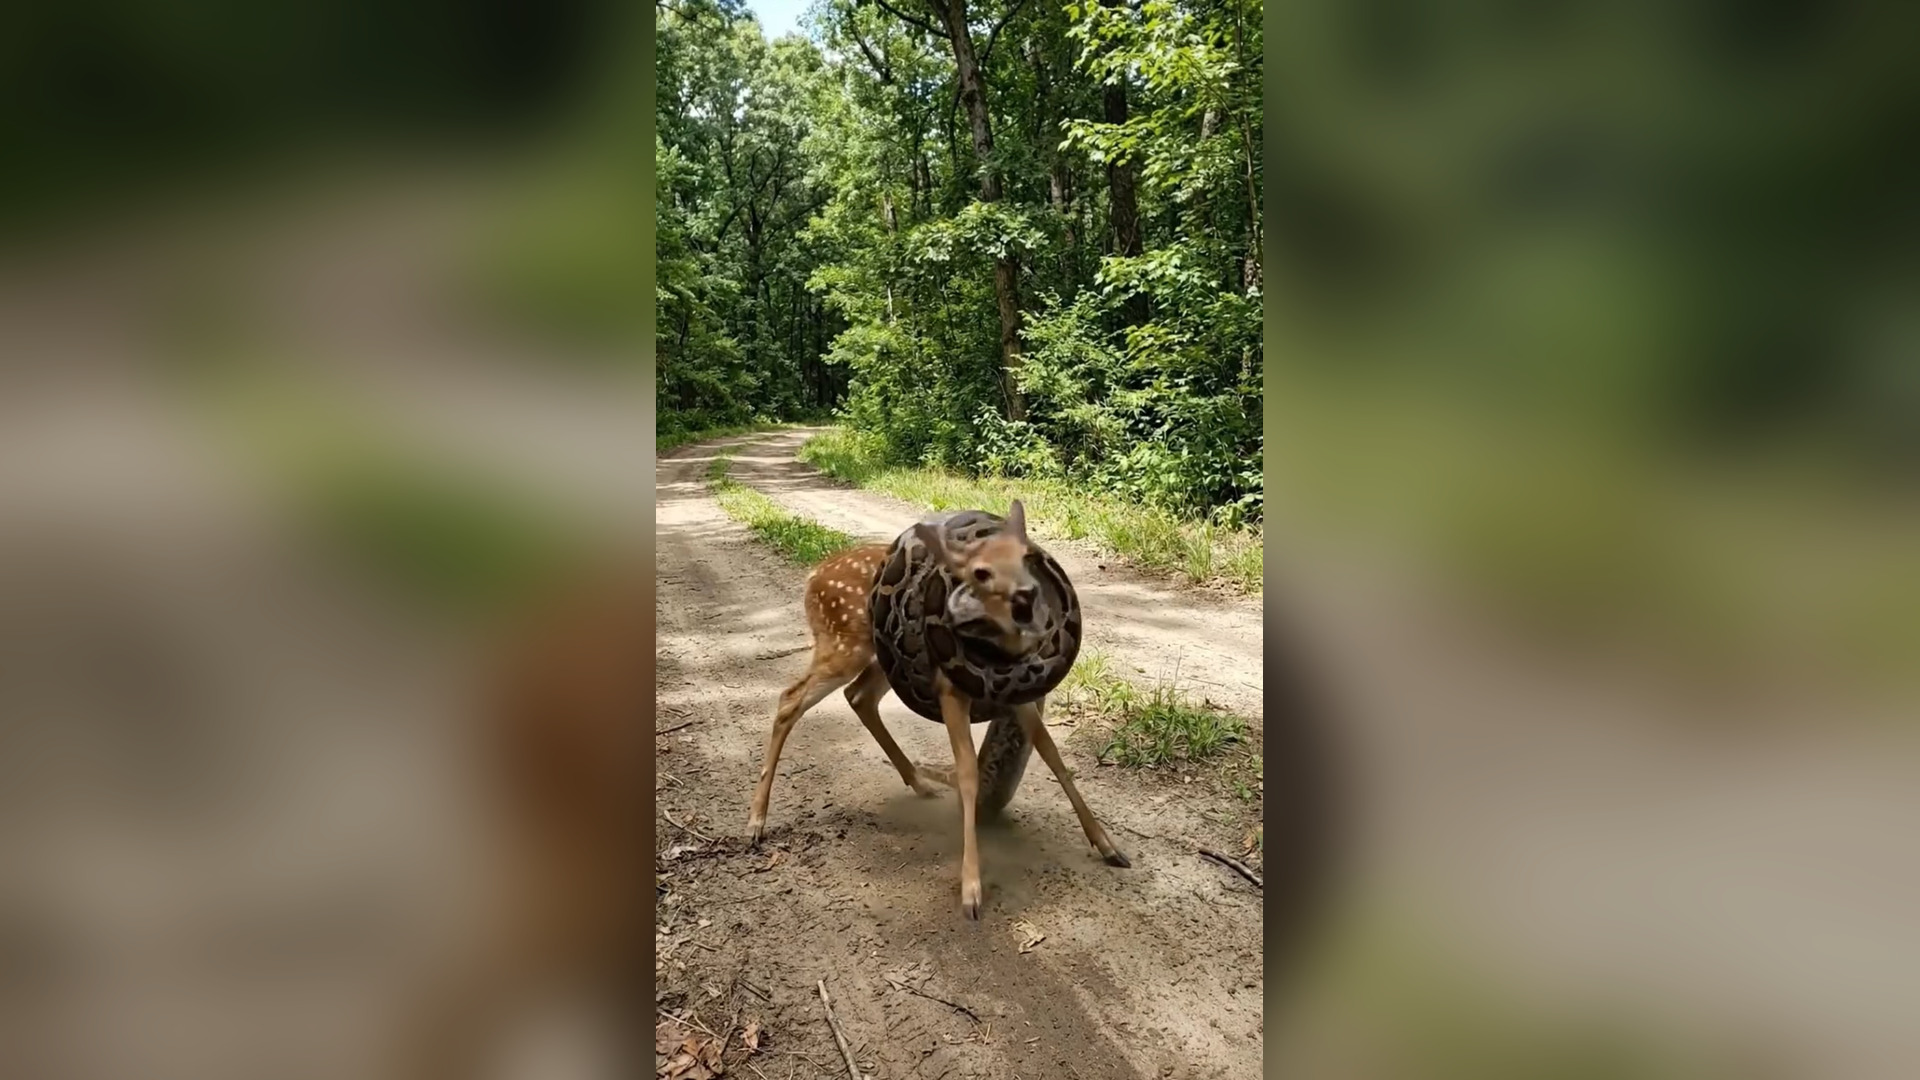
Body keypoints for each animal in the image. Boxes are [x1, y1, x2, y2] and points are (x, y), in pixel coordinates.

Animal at [747, 501, 1128, 918]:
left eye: (1025, 558)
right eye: (981, 572)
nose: (1026, 596)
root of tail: (813, 576)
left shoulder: (1020, 694)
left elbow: (1054, 755)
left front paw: (1108, 846)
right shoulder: (951, 691)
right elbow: (968, 772)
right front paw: (971, 890)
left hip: (884, 660)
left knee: (857, 696)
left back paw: (918, 782)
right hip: (843, 643)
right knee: (790, 698)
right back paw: (756, 822)